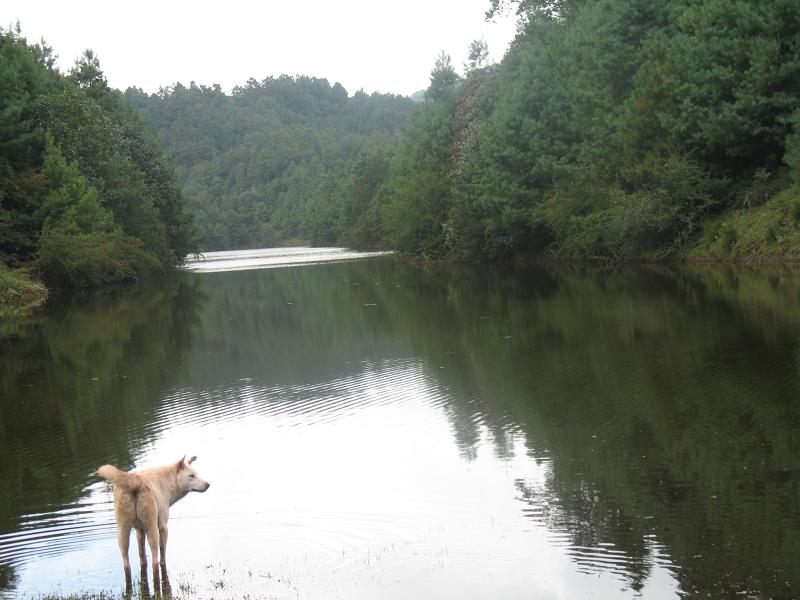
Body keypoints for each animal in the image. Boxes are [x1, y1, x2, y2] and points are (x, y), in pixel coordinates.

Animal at [97, 458, 211, 592]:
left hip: (122, 531)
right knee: (155, 563)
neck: (168, 482)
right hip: (152, 529)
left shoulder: (139, 530)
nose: (208, 484)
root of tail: (137, 483)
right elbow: (162, 556)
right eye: (191, 476)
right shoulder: (163, 526)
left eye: (196, 474)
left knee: (127, 565)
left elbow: (142, 558)